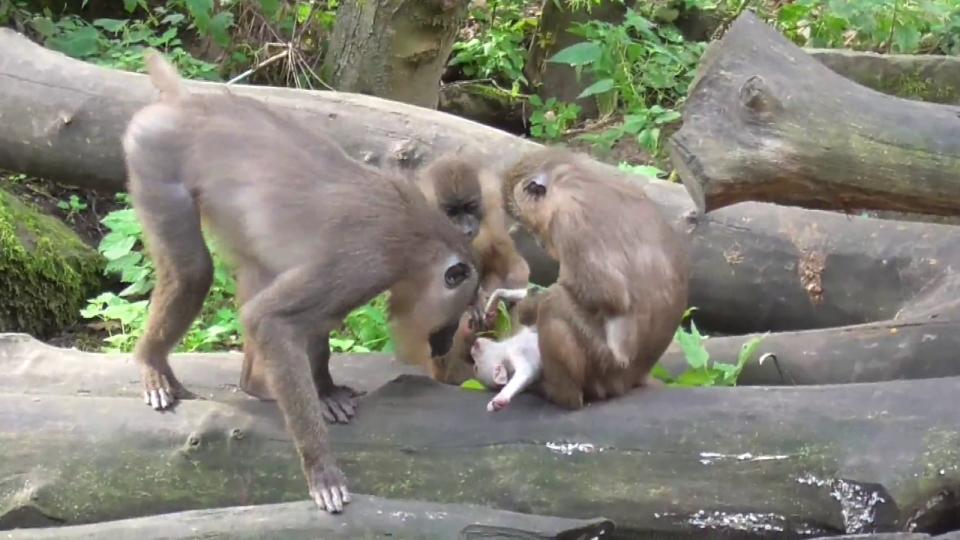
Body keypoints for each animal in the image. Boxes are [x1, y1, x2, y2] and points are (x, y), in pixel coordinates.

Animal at [123, 50, 476, 516]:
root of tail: (186, 101)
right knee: (193, 272)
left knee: (256, 269)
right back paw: (152, 360)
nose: (444, 342)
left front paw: (324, 391)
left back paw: (254, 384)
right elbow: (271, 319)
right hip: (153, 159)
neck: (421, 240)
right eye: (457, 314)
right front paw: (320, 467)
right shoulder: (364, 265)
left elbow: (307, 322)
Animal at [496, 148, 688, 410]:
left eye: (528, 225)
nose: (539, 242)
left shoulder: (569, 223)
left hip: (604, 367)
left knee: (555, 303)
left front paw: (528, 305)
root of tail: (634, 377)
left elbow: (606, 295)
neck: (575, 183)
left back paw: (563, 396)